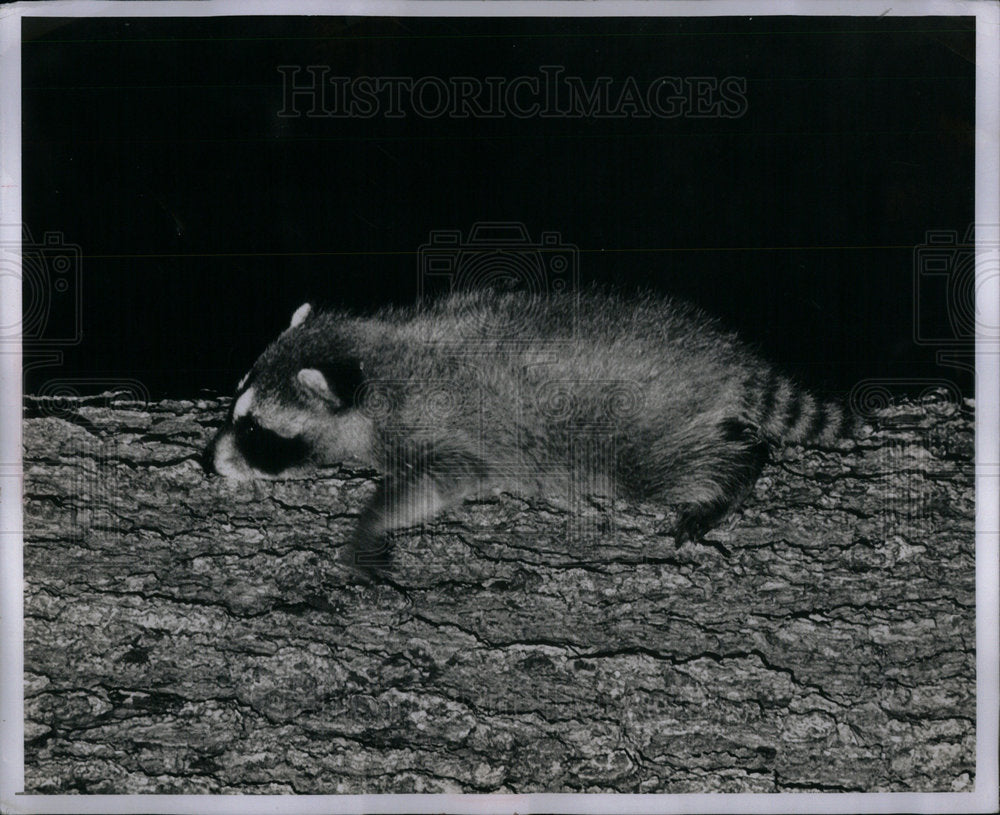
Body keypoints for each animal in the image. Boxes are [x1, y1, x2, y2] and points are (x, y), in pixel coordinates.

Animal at [205, 290, 852, 572]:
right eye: (235, 405)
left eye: (256, 428)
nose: (211, 460)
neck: (375, 356)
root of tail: (726, 358)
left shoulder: (440, 428)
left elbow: (439, 482)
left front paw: (369, 525)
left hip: (641, 430)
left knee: (688, 464)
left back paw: (728, 482)